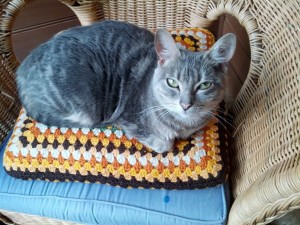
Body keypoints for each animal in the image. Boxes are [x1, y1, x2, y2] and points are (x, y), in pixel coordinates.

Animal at [15, 20, 237, 153]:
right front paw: (164, 140)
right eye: (172, 83)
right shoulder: (126, 118)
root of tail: (21, 72)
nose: (185, 105)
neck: (182, 125)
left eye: (204, 85)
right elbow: (164, 143)